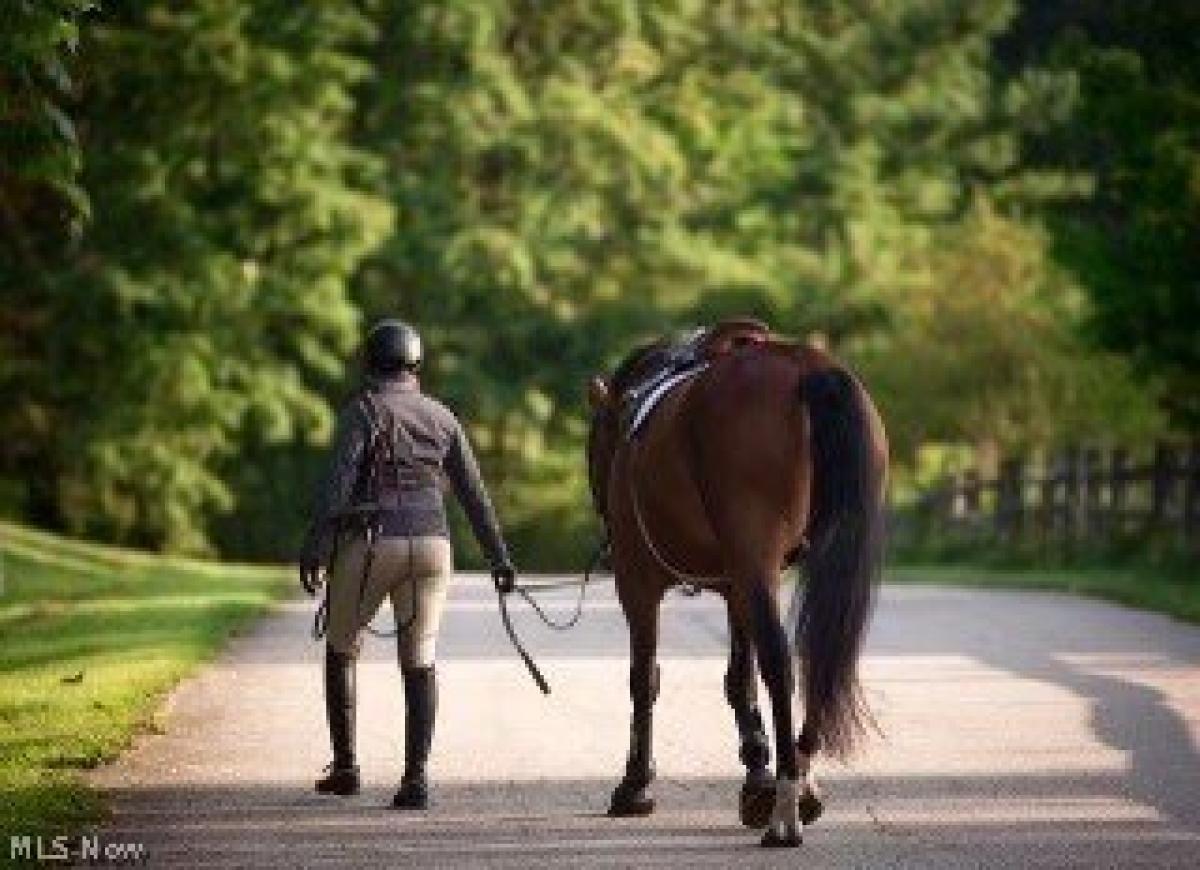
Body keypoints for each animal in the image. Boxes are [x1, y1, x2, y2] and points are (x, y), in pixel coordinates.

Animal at [585, 316, 888, 844]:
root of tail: (808, 369)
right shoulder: (735, 586)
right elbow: (738, 681)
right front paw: (756, 780)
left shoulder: (637, 586)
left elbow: (645, 679)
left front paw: (635, 785)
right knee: (821, 656)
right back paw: (799, 781)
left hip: (750, 558)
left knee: (780, 661)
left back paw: (786, 808)